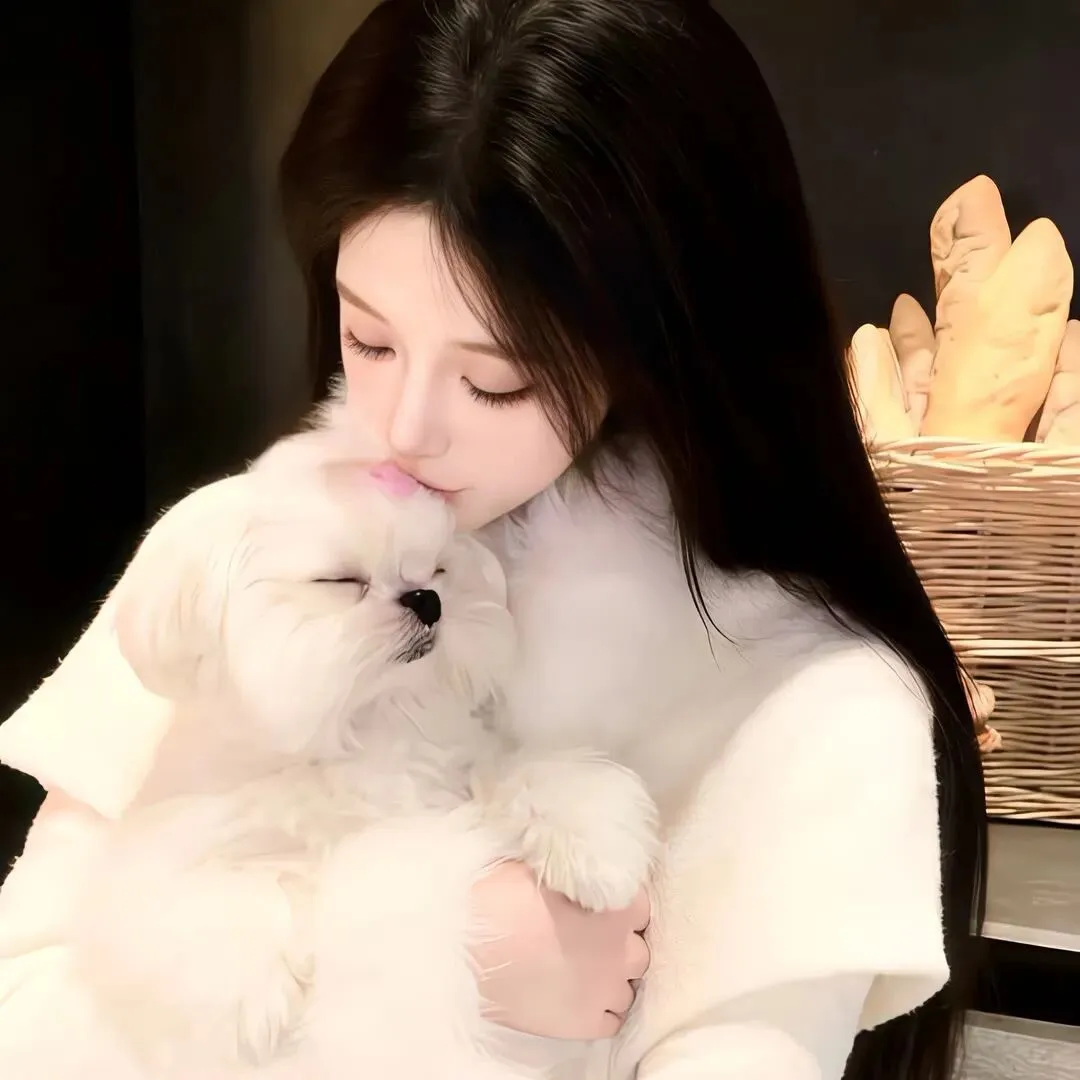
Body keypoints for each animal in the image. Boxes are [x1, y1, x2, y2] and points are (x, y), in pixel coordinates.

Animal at [0, 431, 657, 1079]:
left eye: (439, 569)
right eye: (340, 582)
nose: (428, 599)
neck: (356, 730)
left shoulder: (459, 771)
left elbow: (533, 773)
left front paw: (596, 850)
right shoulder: (165, 855)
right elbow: (207, 895)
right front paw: (250, 1002)